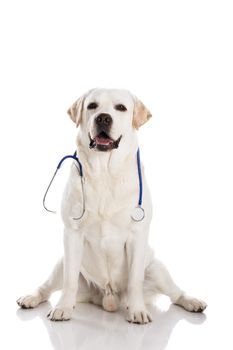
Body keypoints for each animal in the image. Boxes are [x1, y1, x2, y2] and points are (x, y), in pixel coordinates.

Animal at [16, 89, 207, 324]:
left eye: (121, 108)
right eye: (92, 106)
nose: (103, 118)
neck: (104, 172)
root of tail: (107, 296)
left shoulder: (137, 235)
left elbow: (135, 280)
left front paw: (138, 311)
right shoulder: (72, 234)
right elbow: (69, 280)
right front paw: (62, 308)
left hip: (156, 268)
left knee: (175, 292)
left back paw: (192, 302)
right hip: (62, 262)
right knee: (48, 286)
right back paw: (31, 298)